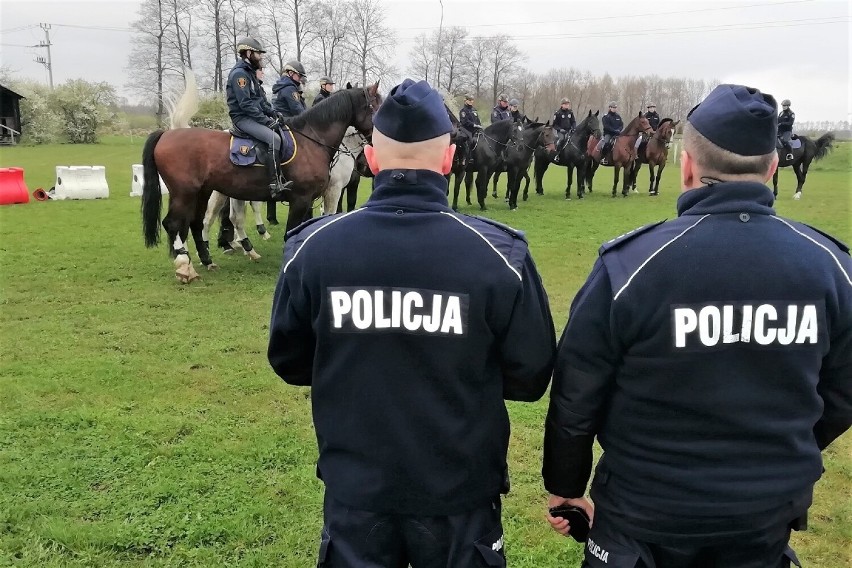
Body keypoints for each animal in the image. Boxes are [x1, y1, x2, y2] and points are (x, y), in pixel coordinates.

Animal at [141, 77, 380, 282]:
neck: (311, 140)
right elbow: (297, 227)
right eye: (376, 106)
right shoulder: (308, 197)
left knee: (197, 222)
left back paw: (208, 259)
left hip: (203, 191)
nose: (366, 164)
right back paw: (185, 265)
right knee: (174, 223)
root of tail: (167, 134)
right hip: (185, 193)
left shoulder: (313, 197)